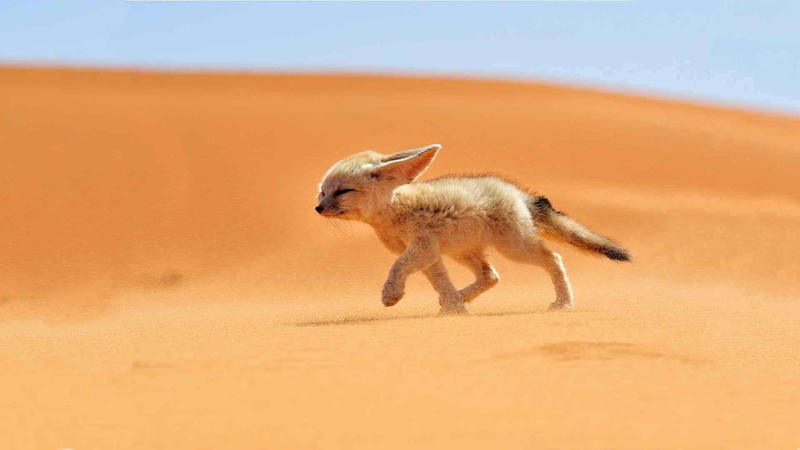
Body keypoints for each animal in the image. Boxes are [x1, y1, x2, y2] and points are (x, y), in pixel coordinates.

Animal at [315, 144, 630, 315]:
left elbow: (397, 267)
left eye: (343, 191)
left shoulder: (421, 247)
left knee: (553, 258)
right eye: (322, 192)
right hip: (463, 252)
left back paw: (564, 302)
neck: (394, 210)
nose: (318, 208)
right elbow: (440, 281)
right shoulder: (430, 254)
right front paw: (454, 308)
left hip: (514, 248)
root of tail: (518, 193)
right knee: (491, 276)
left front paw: (391, 294)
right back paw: (461, 298)